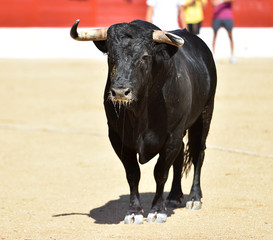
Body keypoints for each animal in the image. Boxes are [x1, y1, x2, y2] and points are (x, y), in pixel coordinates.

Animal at [70, 19, 217, 224]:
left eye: (145, 56)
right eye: (111, 56)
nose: (120, 92)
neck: (140, 113)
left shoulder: (172, 135)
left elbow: (160, 172)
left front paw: (157, 211)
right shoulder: (117, 137)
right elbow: (133, 174)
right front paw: (134, 212)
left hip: (204, 115)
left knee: (198, 154)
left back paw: (194, 198)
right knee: (180, 156)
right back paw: (174, 196)